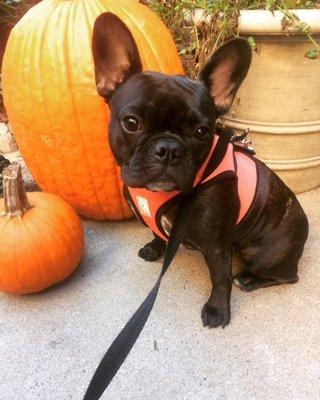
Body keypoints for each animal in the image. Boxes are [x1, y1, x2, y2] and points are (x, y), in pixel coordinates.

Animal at [91, 14, 308, 330]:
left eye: (202, 132)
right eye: (131, 123)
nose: (168, 148)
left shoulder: (217, 245)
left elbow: (219, 279)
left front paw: (218, 310)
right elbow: (159, 234)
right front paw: (155, 249)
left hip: (260, 252)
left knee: (286, 276)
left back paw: (248, 279)